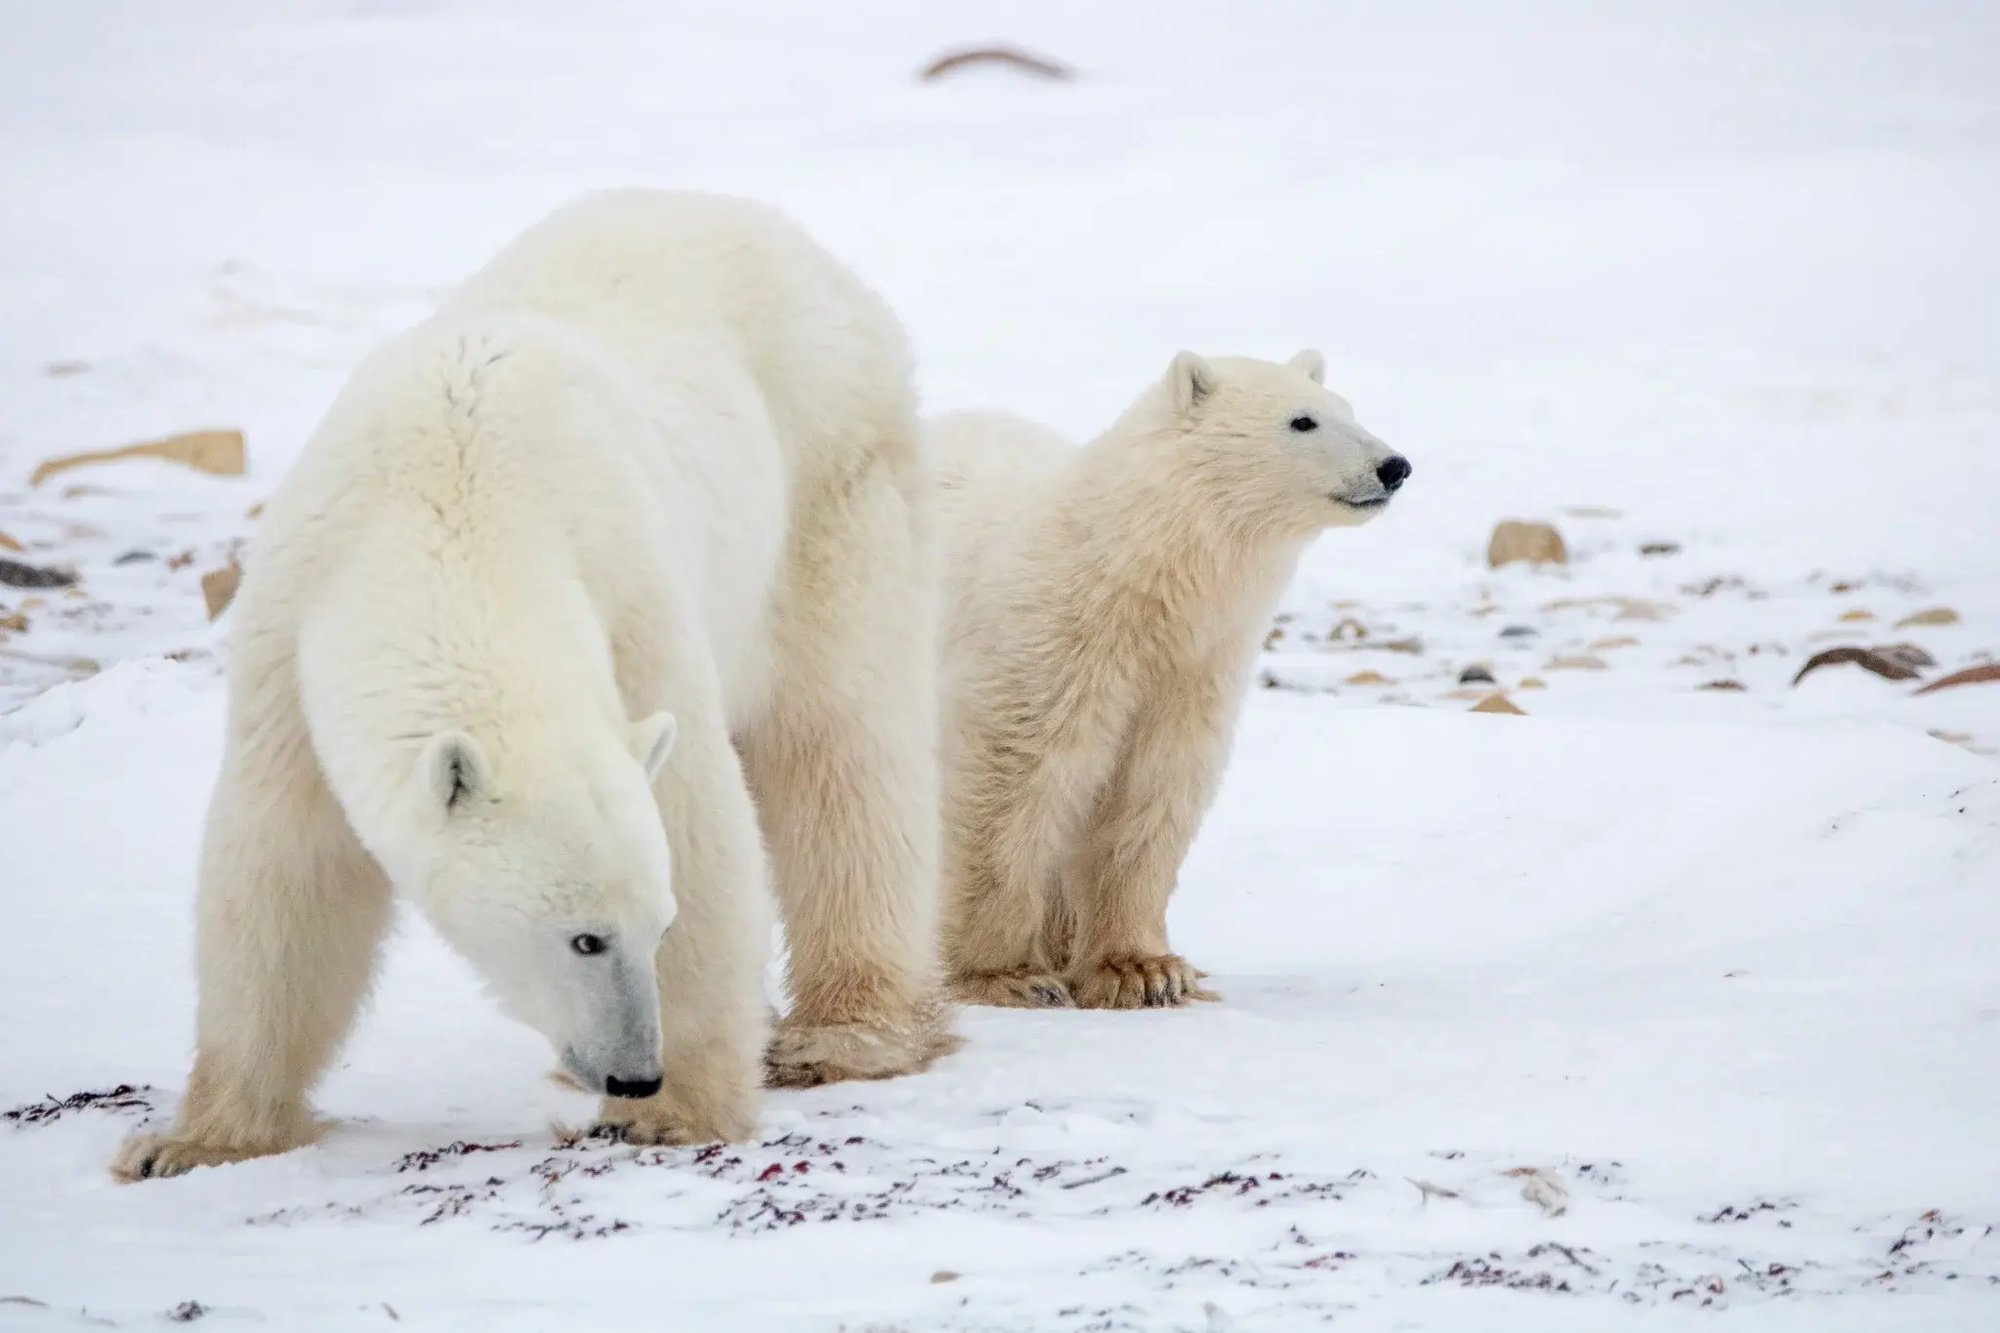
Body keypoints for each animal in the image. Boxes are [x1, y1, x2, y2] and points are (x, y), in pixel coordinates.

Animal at [112, 189, 955, 1181]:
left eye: (657, 925)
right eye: (585, 937)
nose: (634, 1070)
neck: (456, 502)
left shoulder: (631, 598)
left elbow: (698, 823)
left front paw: (677, 1112)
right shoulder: (293, 632)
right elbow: (285, 870)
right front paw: (192, 1142)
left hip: (830, 483)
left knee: (841, 747)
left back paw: (846, 1030)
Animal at [932, 350, 1410, 1010]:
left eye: (1348, 409)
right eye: (1303, 420)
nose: (1394, 467)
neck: (1128, 572)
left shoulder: (1191, 668)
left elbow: (1155, 788)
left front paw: (1143, 970)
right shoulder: (1049, 641)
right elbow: (1013, 778)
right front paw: (1003, 975)